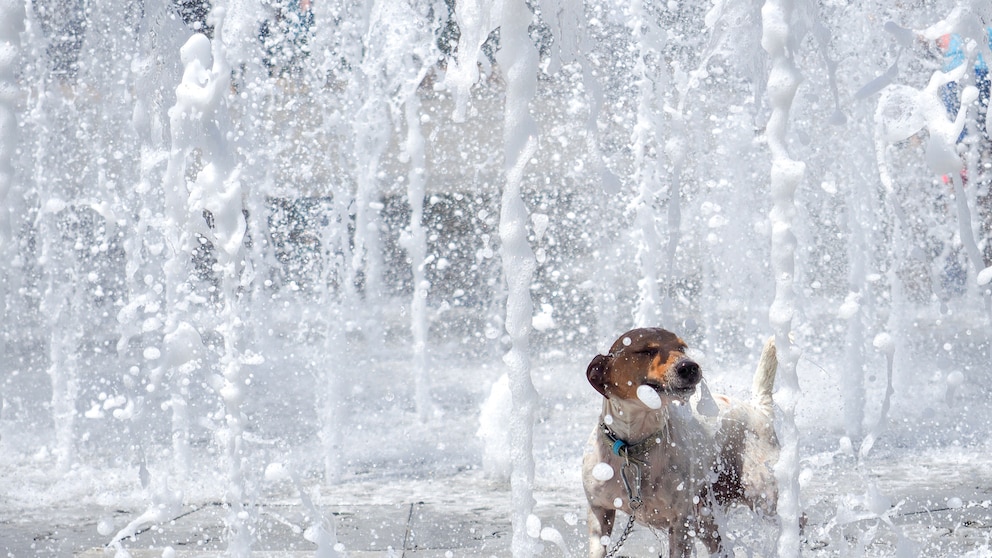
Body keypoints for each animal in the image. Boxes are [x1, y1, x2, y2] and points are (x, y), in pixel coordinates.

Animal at [580, 328, 784, 558]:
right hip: (706, 518)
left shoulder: (681, 521)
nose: (690, 366)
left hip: (763, 498)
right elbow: (598, 546)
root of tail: (758, 409)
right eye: (647, 350)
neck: (633, 448)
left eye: (682, 347)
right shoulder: (598, 510)